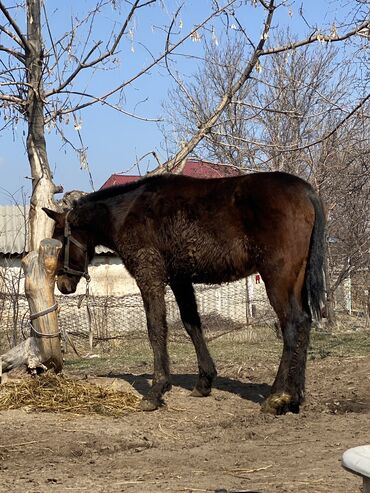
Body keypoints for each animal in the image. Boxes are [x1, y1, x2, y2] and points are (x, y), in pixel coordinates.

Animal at [43, 171, 326, 414]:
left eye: (60, 242)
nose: (63, 285)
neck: (127, 212)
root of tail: (306, 191)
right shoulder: (181, 280)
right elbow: (192, 325)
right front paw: (204, 382)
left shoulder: (150, 277)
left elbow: (156, 329)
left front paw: (156, 390)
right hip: (295, 279)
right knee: (304, 323)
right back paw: (295, 396)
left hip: (277, 278)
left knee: (291, 325)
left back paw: (279, 396)